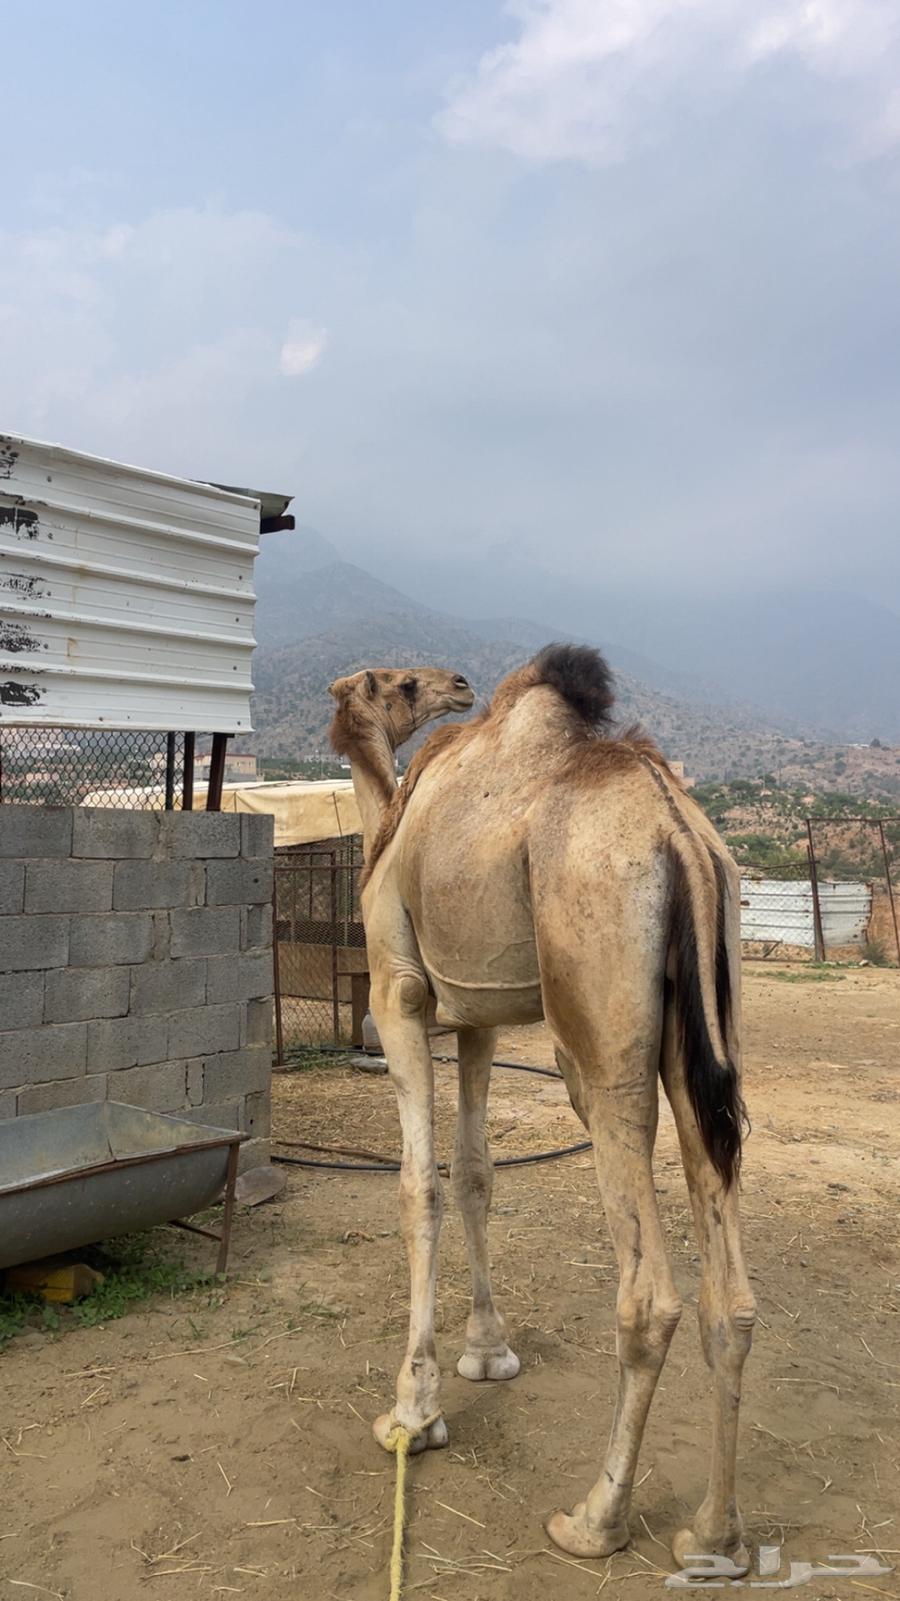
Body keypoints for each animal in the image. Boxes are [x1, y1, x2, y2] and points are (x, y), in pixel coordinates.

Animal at [328, 645, 755, 1572]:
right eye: (402, 683)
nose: (454, 683)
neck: (388, 826)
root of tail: (680, 836)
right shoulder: (477, 1017)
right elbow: (476, 1174)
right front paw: (488, 1352)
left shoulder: (398, 992)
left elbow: (418, 1185)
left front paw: (413, 1412)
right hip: (705, 1027)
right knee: (730, 1293)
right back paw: (714, 1536)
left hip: (597, 1034)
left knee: (650, 1295)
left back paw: (595, 1516)